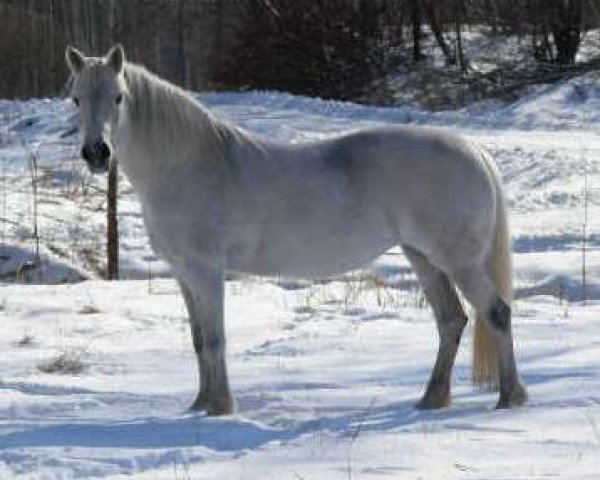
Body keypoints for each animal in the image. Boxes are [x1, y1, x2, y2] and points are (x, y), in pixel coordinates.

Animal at [65, 45, 524, 416]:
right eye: (76, 98)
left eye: (118, 97)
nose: (96, 153)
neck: (187, 165)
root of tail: (474, 150)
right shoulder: (183, 275)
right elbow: (198, 341)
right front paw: (198, 406)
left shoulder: (206, 272)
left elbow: (215, 341)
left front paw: (221, 409)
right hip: (423, 258)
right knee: (451, 320)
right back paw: (432, 399)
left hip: (458, 262)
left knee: (496, 312)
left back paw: (510, 397)